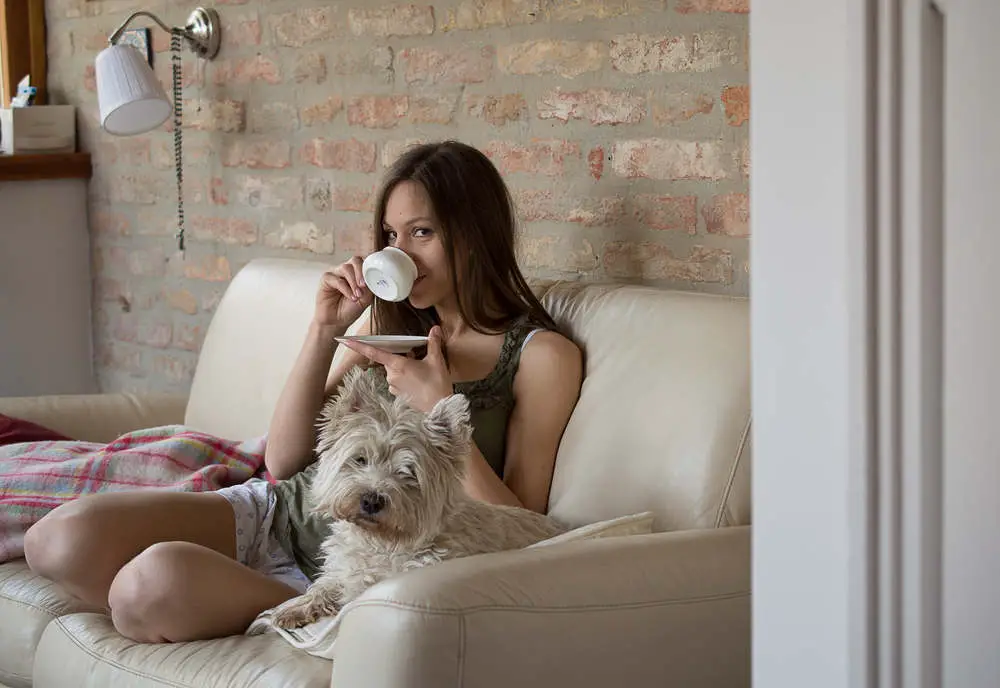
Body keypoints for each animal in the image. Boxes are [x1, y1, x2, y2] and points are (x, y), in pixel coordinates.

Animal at [272, 370, 564, 628]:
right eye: (360, 459)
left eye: (407, 473)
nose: (371, 501)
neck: (381, 542)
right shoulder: (344, 566)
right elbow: (327, 582)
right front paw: (296, 607)